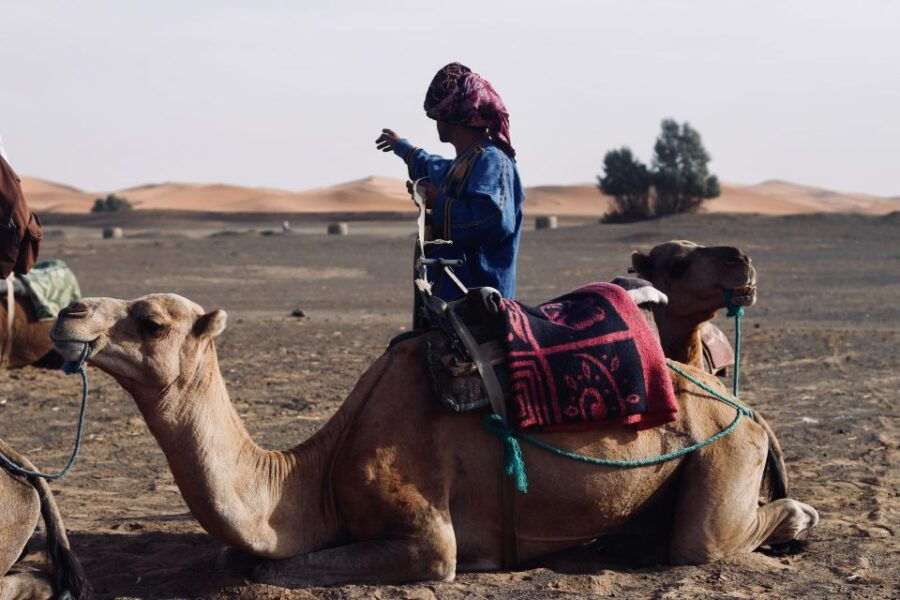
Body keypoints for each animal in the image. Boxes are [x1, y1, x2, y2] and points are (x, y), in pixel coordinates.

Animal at [47, 241, 824, 588]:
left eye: (151, 322)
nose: (69, 313)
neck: (313, 474)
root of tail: (750, 410)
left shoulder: (427, 540)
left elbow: (268, 572)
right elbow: (235, 556)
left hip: (723, 452)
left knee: (708, 540)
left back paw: (799, 521)